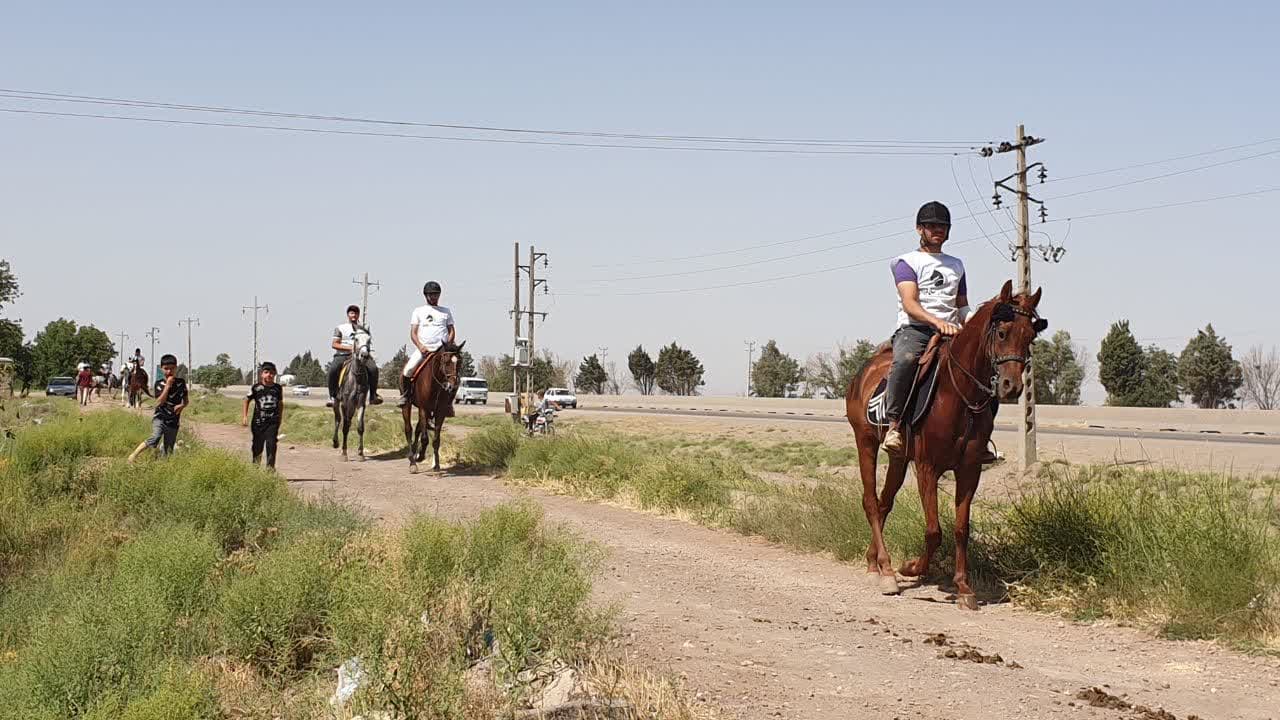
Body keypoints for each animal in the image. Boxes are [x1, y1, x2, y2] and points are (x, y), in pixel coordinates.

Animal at [330, 327, 371, 456]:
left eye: (369, 340)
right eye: (356, 339)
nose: (364, 355)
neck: (356, 376)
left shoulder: (360, 403)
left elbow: (360, 427)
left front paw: (361, 452)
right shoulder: (345, 403)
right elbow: (345, 427)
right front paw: (344, 452)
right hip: (337, 402)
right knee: (338, 419)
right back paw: (335, 442)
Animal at [401, 340, 468, 471]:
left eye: (459, 361)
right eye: (446, 362)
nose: (453, 385)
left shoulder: (440, 411)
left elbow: (436, 439)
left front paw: (436, 464)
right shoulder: (423, 409)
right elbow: (425, 438)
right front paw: (420, 457)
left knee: (418, 429)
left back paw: (415, 453)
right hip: (408, 406)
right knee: (409, 429)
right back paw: (412, 461)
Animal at [844, 278, 1044, 607]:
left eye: (1030, 337)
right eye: (1002, 332)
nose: (1012, 387)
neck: (958, 393)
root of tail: (865, 371)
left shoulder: (969, 469)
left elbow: (961, 529)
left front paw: (964, 587)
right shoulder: (928, 468)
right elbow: (934, 530)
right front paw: (912, 568)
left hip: (898, 459)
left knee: (885, 503)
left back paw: (874, 562)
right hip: (866, 443)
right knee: (871, 502)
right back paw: (886, 571)